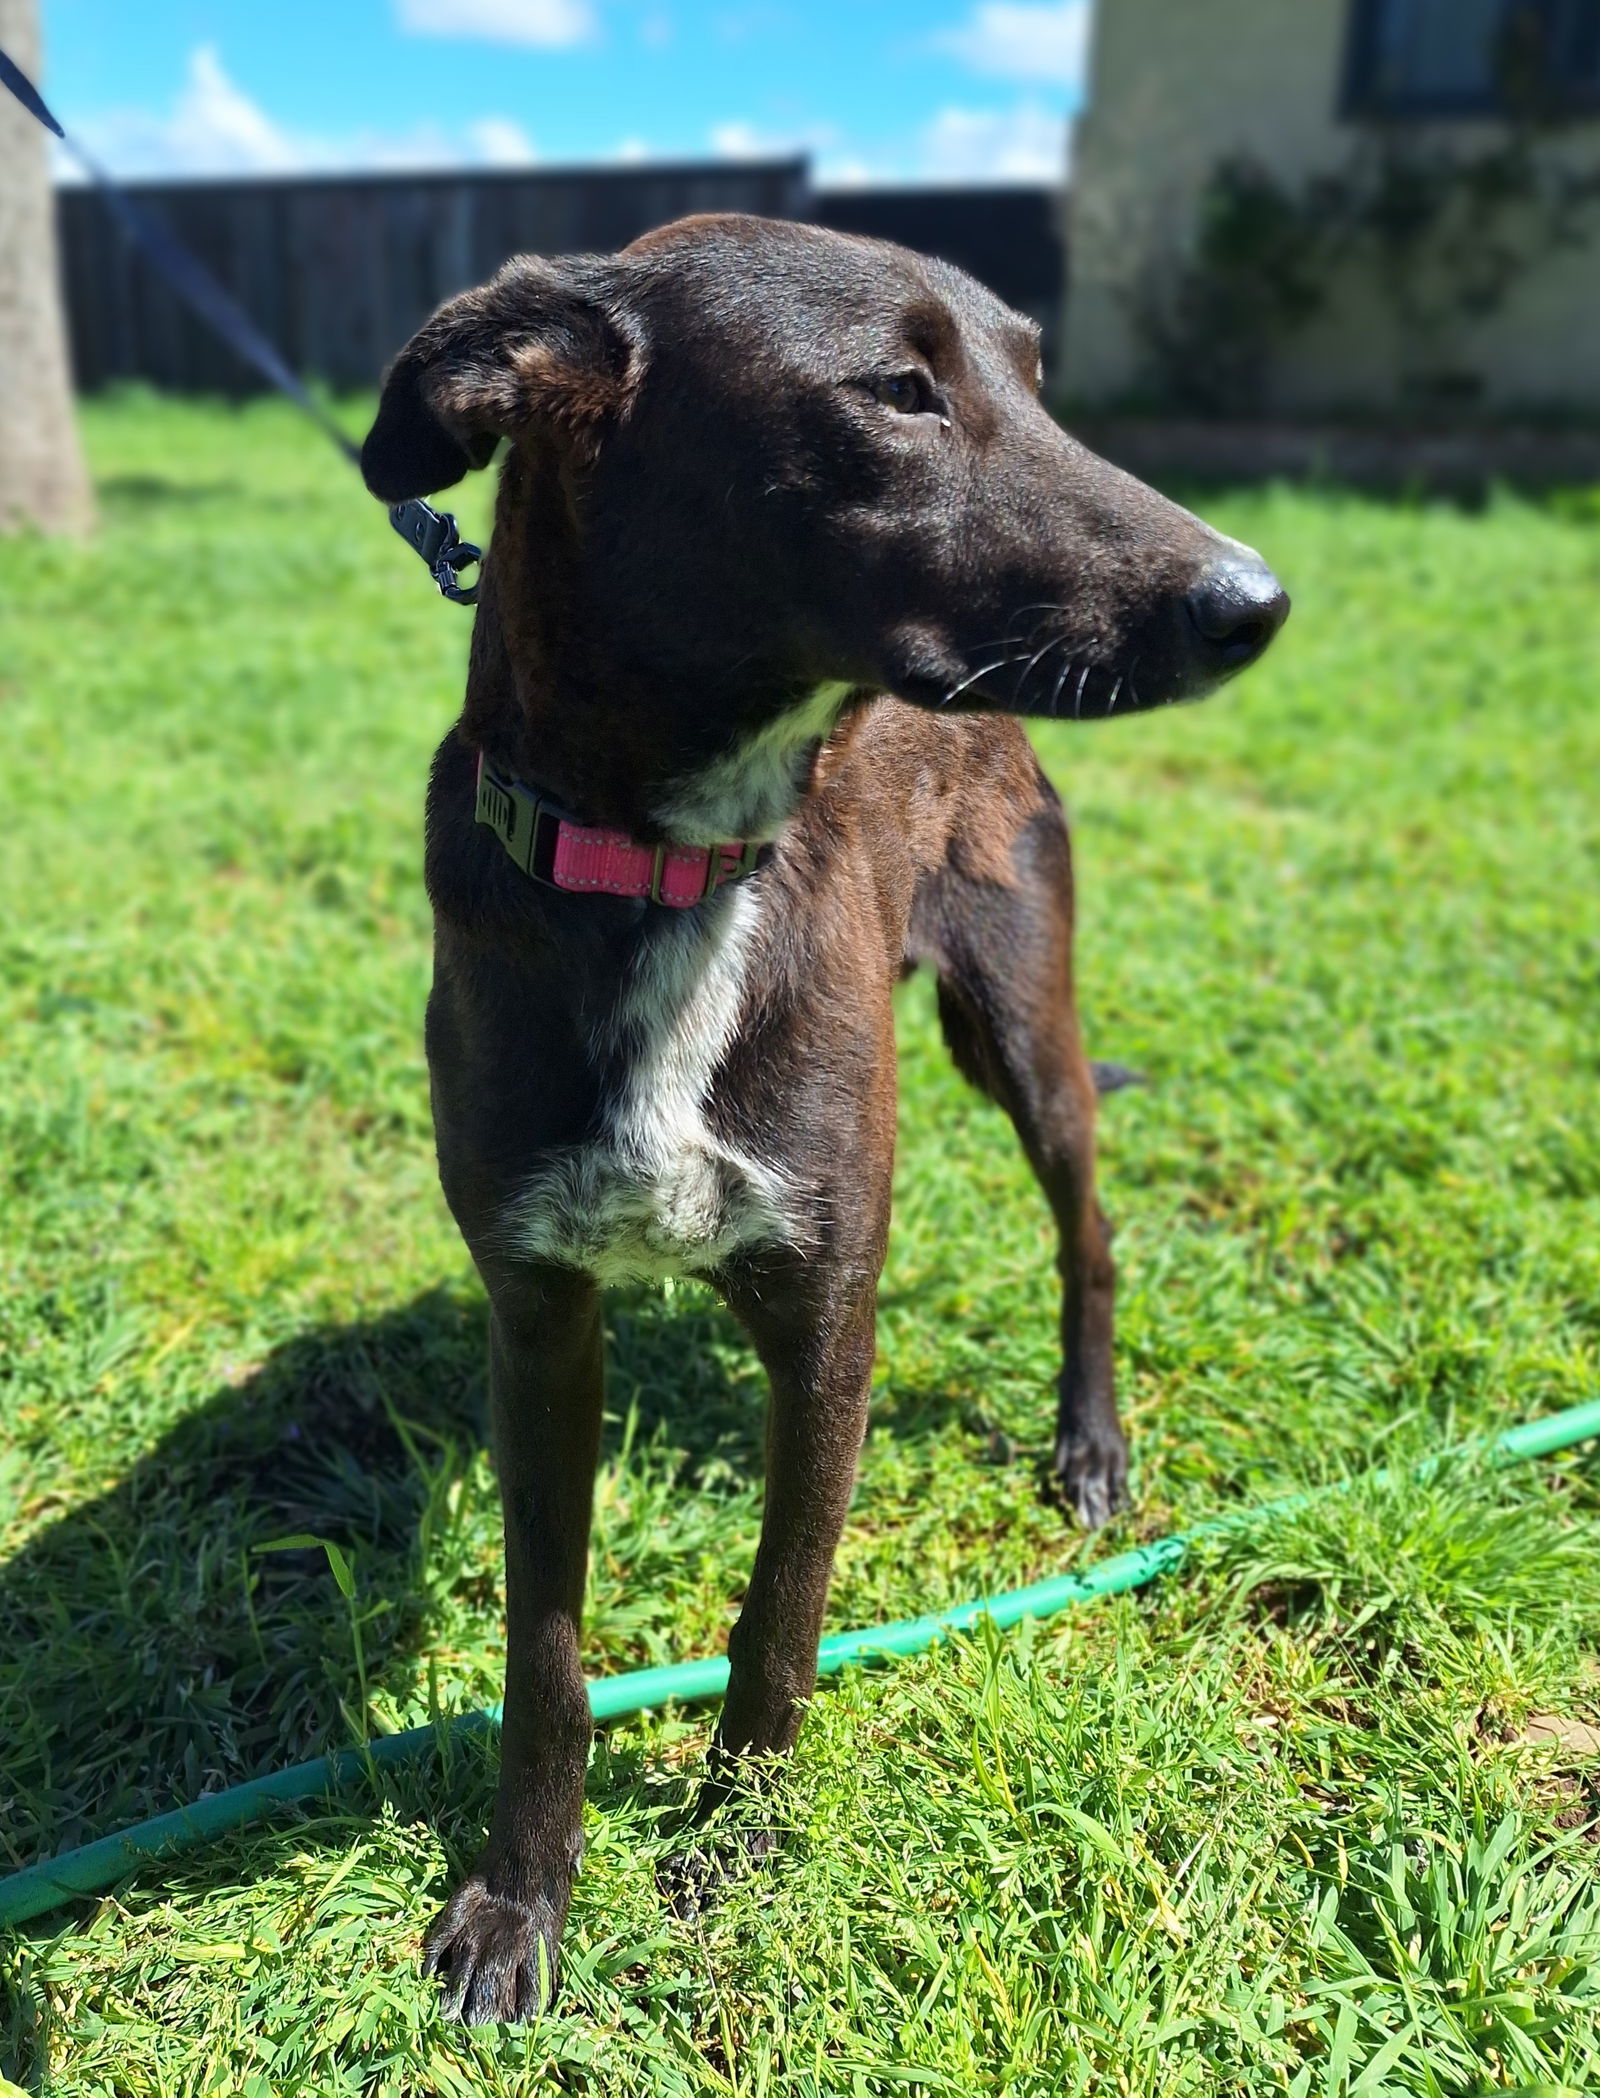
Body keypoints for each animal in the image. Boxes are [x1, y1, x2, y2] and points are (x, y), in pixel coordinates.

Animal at [362, 208, 1291, 2014]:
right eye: (897, 391)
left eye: (1036, 379)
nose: (1255, 599)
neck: (679, 863)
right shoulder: (539, 1313)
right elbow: (546, 1648)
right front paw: (518, 1901)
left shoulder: (829, 1313)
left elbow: (780, 1617)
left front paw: (732, 1853)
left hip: (1022, 1032)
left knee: (1090, 1236)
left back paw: (1090, 1446)